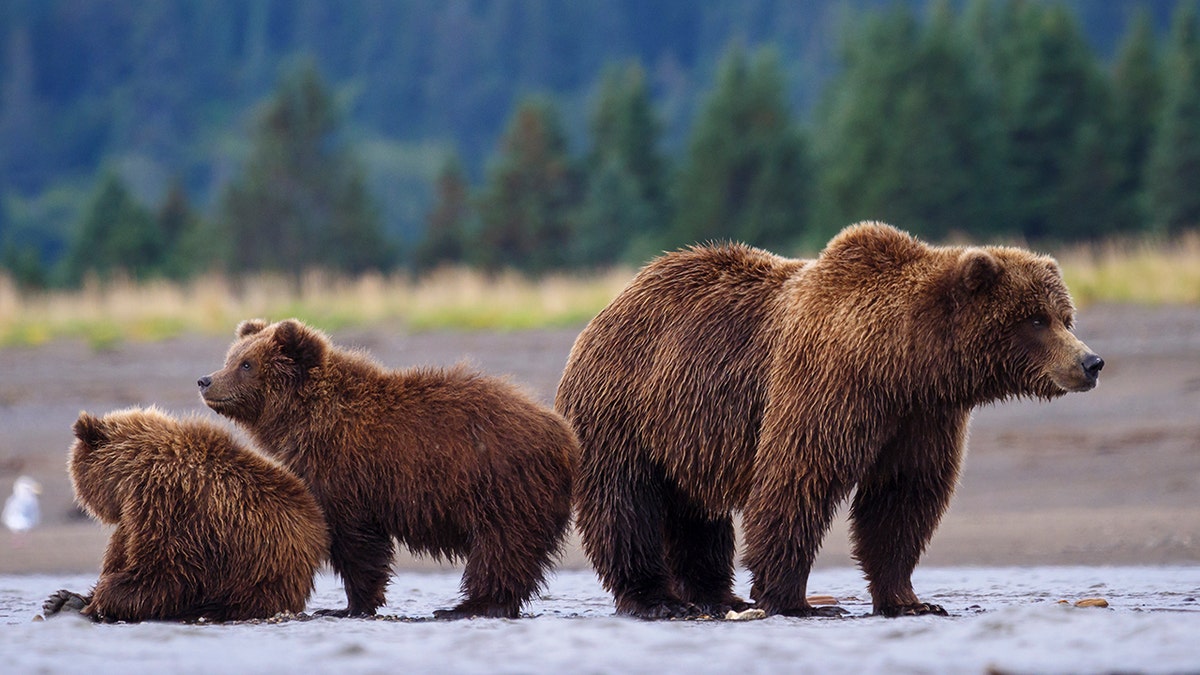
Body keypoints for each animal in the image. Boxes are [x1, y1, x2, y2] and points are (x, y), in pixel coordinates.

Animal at [45, 403, 328, 619]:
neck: (133, 472)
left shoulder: (167, 501)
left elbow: (166, 573)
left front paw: (98, 600)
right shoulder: (134, 516)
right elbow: (123, 552)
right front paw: (63, 599)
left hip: (256, 579)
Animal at [198, 317, 580, 619]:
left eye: (247, 364)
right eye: (231, 357)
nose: (206, 380)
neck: (304, 420)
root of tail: (564, 435)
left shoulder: (346, 471)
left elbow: (356, 542)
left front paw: (347, 605)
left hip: (502, 483)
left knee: (500, 548)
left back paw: (466, 607)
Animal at [556, 222, 1099, 619]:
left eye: (1064, 316)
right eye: (1034, 319)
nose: (1090, 362)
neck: (905, 362)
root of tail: (610, 306)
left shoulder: (922, 418)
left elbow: (903, 499)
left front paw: (911, 600)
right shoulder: (828, 386)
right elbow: (797, 479)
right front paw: (795, 601)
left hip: (684, 430)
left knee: (696, 514)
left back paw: (716, 596)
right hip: (623, 410)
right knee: (626, 505)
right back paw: (657, 600)